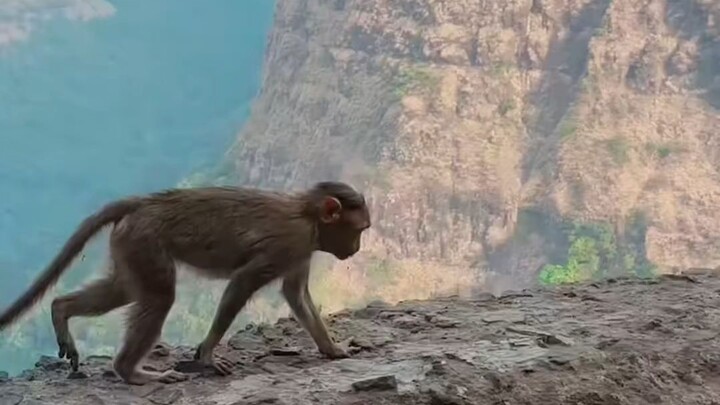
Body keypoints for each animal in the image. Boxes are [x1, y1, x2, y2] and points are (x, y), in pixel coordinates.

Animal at [0, 181, 371, 385]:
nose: (356, 249)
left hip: (129, 243)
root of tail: (144, 201)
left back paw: (60, 309)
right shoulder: (289, 242)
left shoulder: (301, 250)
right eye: (360, 229)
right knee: (160, 296)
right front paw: (206, 356)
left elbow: (296, 294)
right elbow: (242, 283)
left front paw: (333, 350)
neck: (307, 215)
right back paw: (130, 371)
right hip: (145, 240)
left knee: (125, 288)